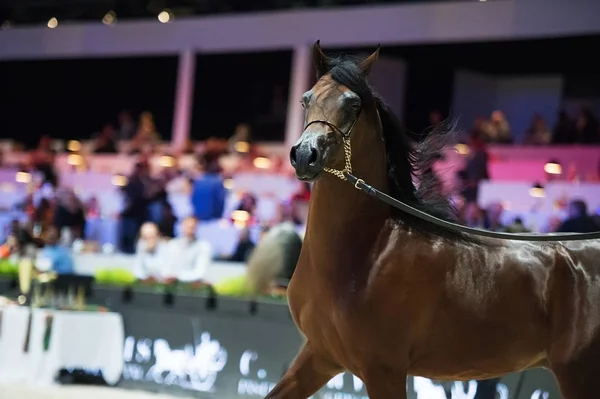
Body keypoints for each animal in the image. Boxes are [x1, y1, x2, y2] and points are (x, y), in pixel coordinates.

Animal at [266, 42, 600, 398]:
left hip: (580, 374)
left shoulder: (383, 369)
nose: (305, 155)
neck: (368, 251)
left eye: (353, 103)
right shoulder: (321, 355)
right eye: (306, 99)